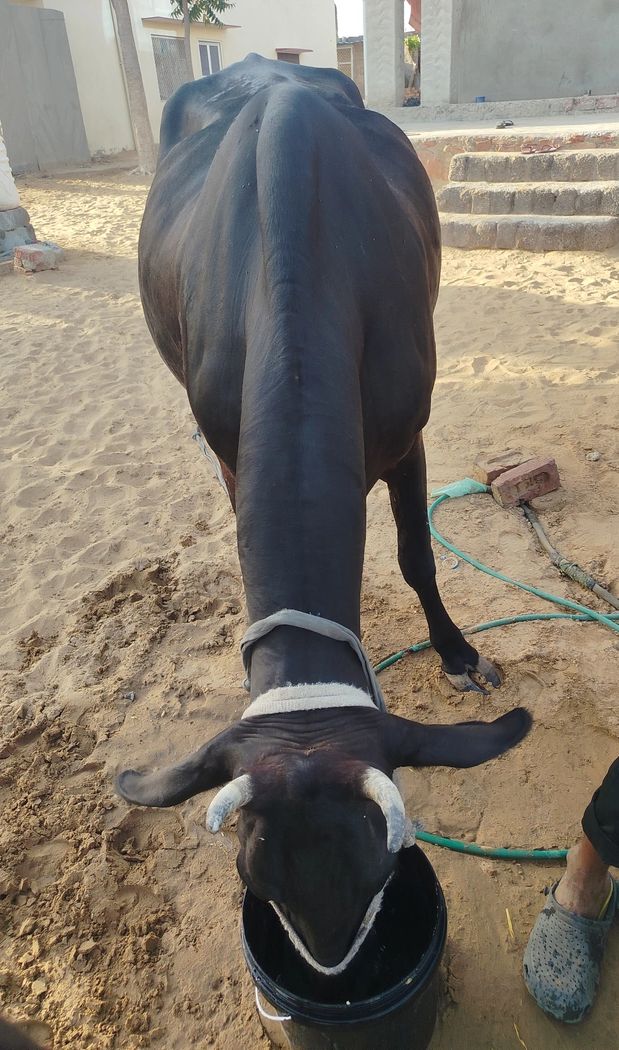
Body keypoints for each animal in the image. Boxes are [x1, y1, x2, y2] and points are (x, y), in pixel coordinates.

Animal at [117, 54, 530, 972]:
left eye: (382, 870)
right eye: (255, 880)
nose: (335, 971)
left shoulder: (408, 431)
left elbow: (416, 554)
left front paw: (456, 653)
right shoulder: (230, 449)